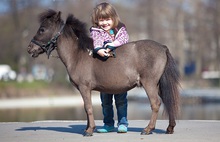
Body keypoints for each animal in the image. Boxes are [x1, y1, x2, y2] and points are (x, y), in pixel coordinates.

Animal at [27, 9, 180, 136]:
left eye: (42, 29)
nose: (29, 48)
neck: (77, 55)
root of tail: (162, 47)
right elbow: (86, 108)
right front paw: (88, 128)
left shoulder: (84, 87)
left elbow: (88, 107)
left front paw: (89, 130)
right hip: (158, 84)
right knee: (168, 101)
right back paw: (170, 128)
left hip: (149, 83)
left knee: (156, 103)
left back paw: (148, 129)